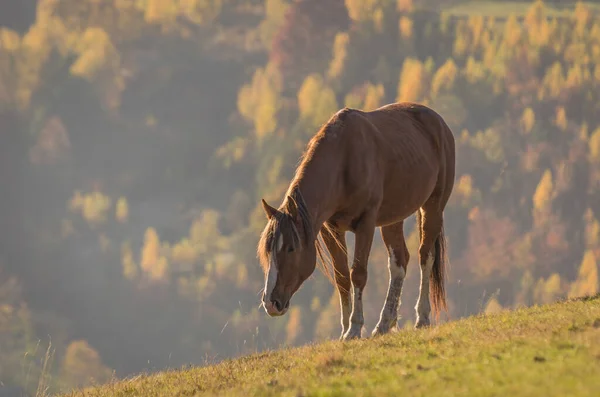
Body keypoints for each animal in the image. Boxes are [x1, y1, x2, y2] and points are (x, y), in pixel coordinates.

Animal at [254, 100, 454, 338]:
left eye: (291, 248)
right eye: (267, 250)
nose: (271, 303)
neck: (343, 162)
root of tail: (439, 122)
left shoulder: (365, 224)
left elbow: (358, 273)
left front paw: (355, 328)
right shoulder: (331, 229)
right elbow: (342, 277)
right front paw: (345, 331)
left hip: (433, 206)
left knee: (425, 255)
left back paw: (421, 317)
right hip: (392, 220)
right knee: (399, 262)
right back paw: (384, 323)